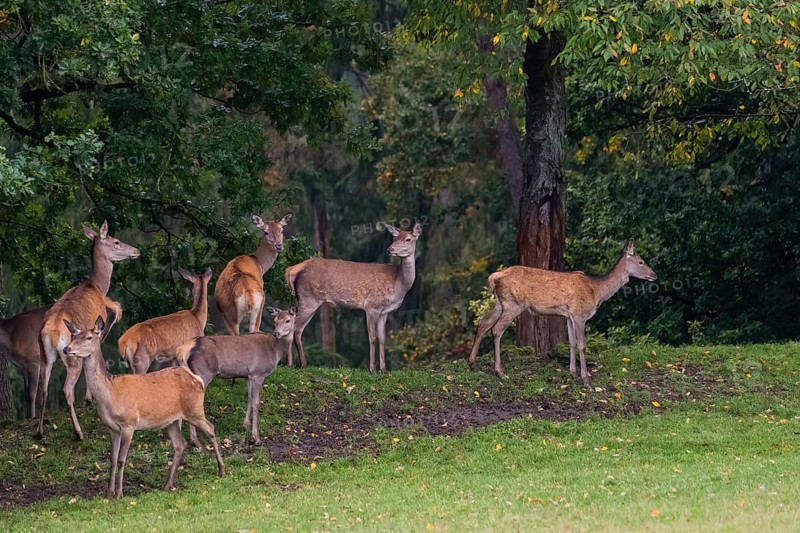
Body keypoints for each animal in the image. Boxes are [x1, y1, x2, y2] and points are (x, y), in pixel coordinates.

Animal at [38, 221, 140, 440]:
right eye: (116, 241)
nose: (136, 250)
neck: (97, 286)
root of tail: (52, 333)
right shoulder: (97, 332)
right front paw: (89, 398)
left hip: (44, 355)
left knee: (44, 388)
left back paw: (40, 431)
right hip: (71, 357)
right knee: (66, 390)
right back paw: (78, 432)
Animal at [62, 312, 225, 499]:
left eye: (89, 337)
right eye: (73, 336)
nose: (66, 349)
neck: (110, 393)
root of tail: (196, 379)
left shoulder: (129, 424)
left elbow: (121, 460)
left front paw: (119, 494)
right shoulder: (112, 428)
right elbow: (112, 459)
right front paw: (108, 493)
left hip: (194, 409)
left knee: (211, 428)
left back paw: (221, 470)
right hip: (171, 420)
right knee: (180, 444)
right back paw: (167, 484)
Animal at [176, 306, 296, 445]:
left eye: (287, 320)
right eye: (275, 320)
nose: (276, 333)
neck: (275, 351)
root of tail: (182, 351)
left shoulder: (248, 375)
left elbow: (249, 398)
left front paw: (245, 425)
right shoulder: (258, 373)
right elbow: (256, 402)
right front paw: (256, 437)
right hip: (203, 373)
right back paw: (196, 441)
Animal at [285, 220, 422, 372]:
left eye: (408, 239)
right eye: (394, 238)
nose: (389, 249)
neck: (398, 283)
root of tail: (291, 269)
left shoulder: (384, 311)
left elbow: (382, 338)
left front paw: (383, 369)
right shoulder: (371, 306)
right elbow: (372, 338)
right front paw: (372, 369)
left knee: (296, 329)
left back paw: (299, 363)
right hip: (309, 299)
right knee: (294, 329)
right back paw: (293, 364)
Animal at [468, 239, 657, 386]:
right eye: (641, 261)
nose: (654, 275)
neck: (597, 292)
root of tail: (494, 277)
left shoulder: (569, 316)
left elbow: (571, 342)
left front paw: (573, 374)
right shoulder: (580, 314)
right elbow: (582, 344)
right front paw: (586, 379)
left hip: (500, 303)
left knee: (483, 323)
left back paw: (472, 364)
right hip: (512, 304)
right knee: (496, 330)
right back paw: (500, 372)